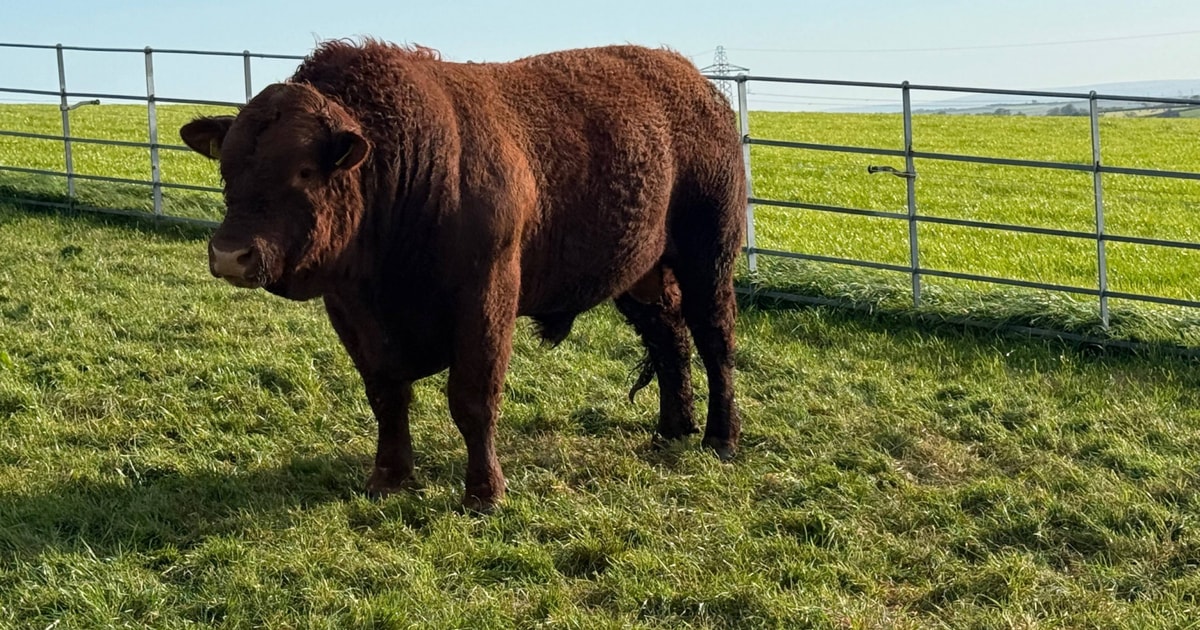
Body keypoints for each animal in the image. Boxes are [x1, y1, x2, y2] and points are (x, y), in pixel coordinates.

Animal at [179, 39, 746, 512]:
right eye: (227, 168)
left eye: (303, 170)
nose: (230, 255)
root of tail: (694, 81)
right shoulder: (353, 312)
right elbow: (387, 395)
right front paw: (388, 479)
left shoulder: (486, 298)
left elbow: (473, 399)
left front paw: (484, 493)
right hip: (638, 274)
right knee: (669, 338)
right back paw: (673, 427)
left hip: (709, 257)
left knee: (714, 340)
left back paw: (720, 437)